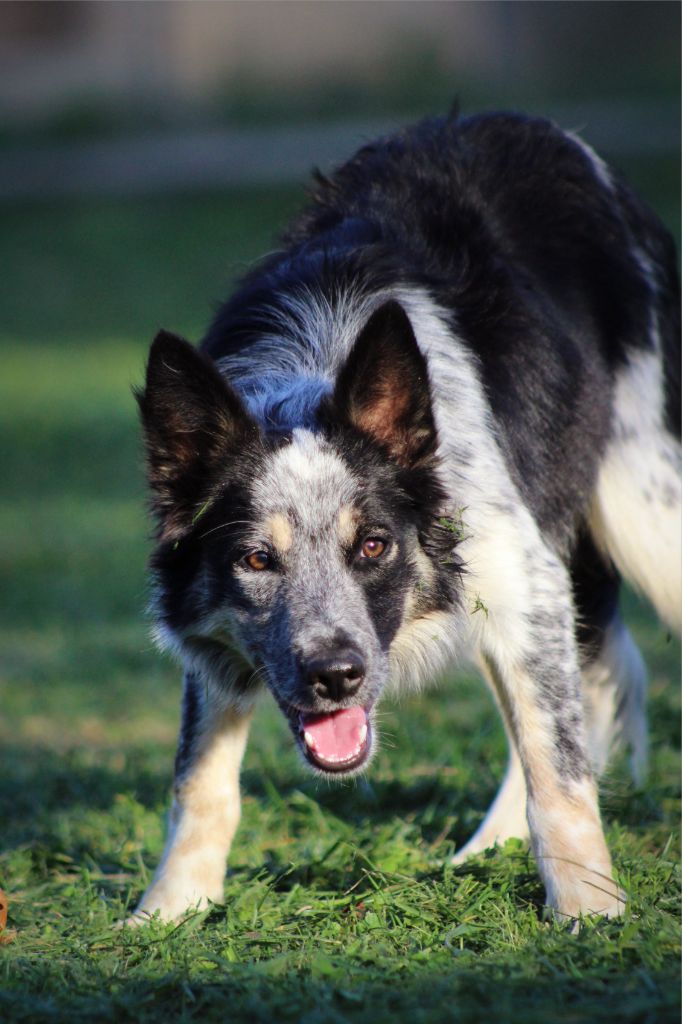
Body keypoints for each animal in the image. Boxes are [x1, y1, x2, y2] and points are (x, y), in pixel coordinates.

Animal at [130, 114, 675, 929]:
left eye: (374, 546)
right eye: (255, 560)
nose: (335, 677)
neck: (313, 371)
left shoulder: (526, 577)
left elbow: (560, 767)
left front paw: (590, 908)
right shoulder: (218, 634)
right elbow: (199, 779)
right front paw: (171, 909)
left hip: (646, 511)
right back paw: (488, 849)